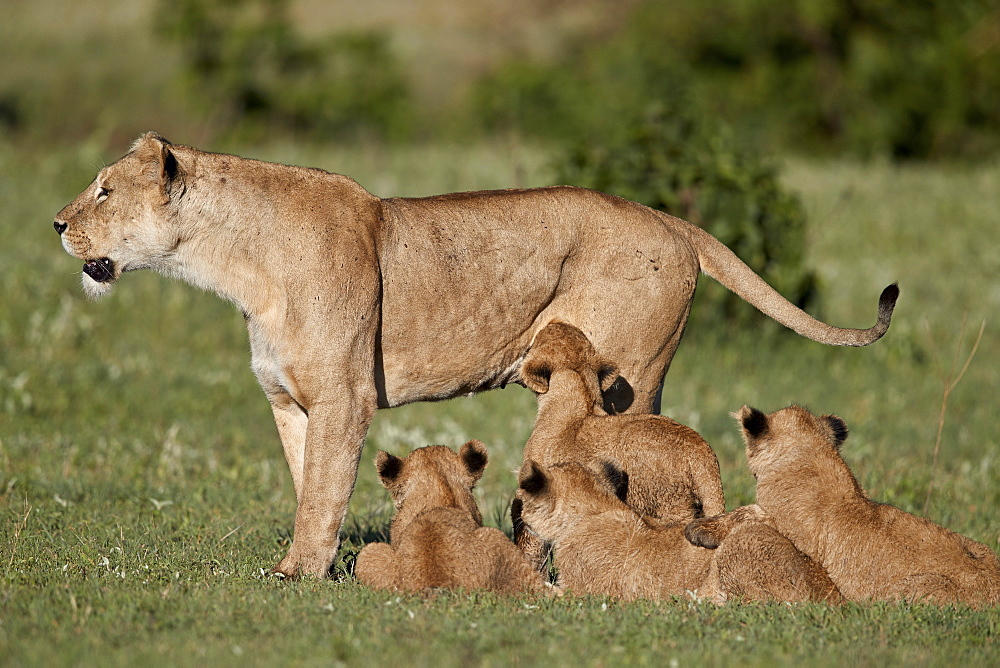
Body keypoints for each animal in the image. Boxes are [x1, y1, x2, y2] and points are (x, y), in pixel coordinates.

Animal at [54, 133, 900, 576]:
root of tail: (667, 217)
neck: (232, 262)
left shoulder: (345, 400)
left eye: (104, 191)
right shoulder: (289, 401)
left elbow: (323, 492)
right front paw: (312, 569)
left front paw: (298, 577)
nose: (57, 224)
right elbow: (307, 487)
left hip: (629, 377)